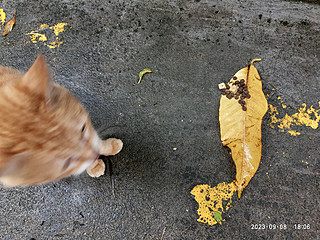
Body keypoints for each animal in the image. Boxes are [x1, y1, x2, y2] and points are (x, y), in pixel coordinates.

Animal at [0, 55, 122, 187]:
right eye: (67, 162)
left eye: (83, 129)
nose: (96, 156)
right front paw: (94, 166)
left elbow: (97, 141)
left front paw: (108, 147)